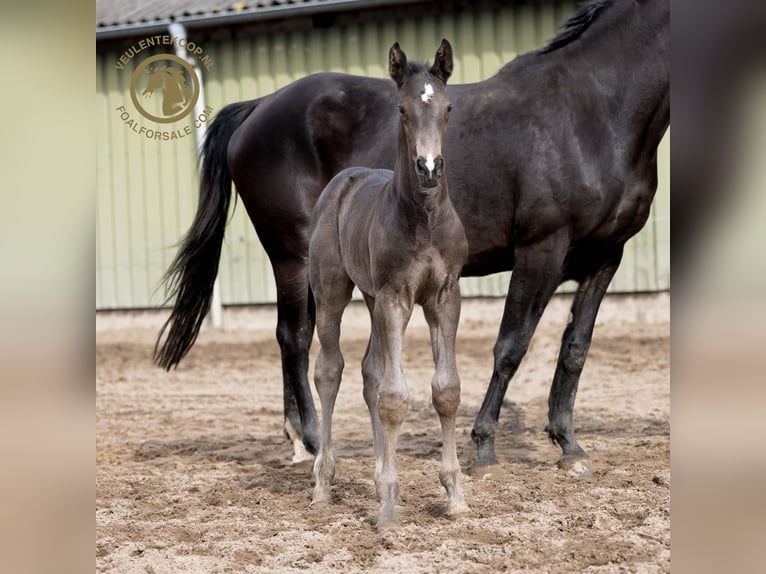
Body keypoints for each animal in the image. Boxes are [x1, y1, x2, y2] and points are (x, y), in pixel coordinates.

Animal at [156, 0, 672, 476]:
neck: (589, 112)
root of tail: (257, 107)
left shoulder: (606, 256)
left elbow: (575, 350)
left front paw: (568, 444)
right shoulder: (540, 250)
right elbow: (511, 346)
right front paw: (484, 446)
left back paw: (299, 439)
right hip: (292, 256)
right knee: (295, 338)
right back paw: (312, 440)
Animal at [310, 40, 468, 532]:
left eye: (448, 106)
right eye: (401, 109)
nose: (430, 167)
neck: (424, 219)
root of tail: (343, 180)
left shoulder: (444, 297)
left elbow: (445, 390)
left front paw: (454, 495)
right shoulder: (396, 298)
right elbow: (395, 397)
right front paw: (387, 511)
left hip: (371, 297)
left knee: (369, 373)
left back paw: (380, 475)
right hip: (333, 292)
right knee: (329, 370)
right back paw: (323, 482)